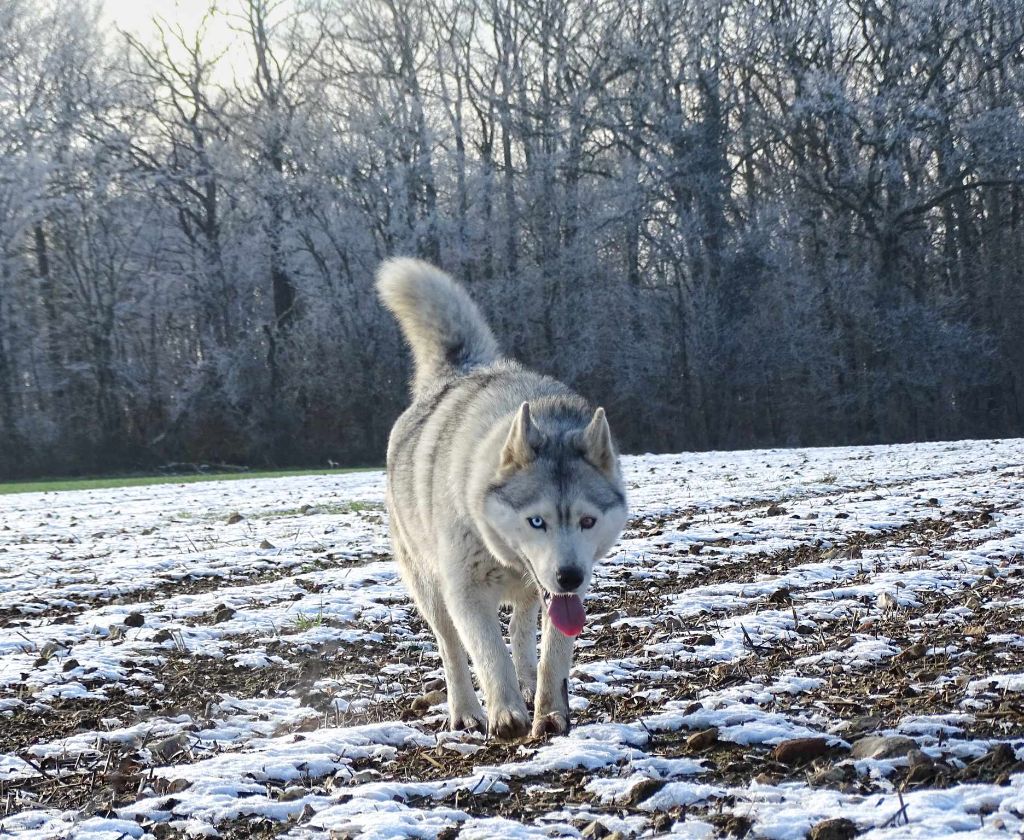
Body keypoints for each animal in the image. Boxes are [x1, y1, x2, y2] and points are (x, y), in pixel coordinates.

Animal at [378, 257, 626, 733]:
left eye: (587, 521)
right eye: (536, 521)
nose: (569, 576)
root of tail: (461, 370)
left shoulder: (564, 596)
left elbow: (552, 656)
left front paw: (549, 712)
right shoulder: (465, 594)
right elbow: (488, 654)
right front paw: (506, 713)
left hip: (528, 594)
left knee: (521, 632)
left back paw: (527, 682)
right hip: (430, 588)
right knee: (452, 649)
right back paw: (465, 710)